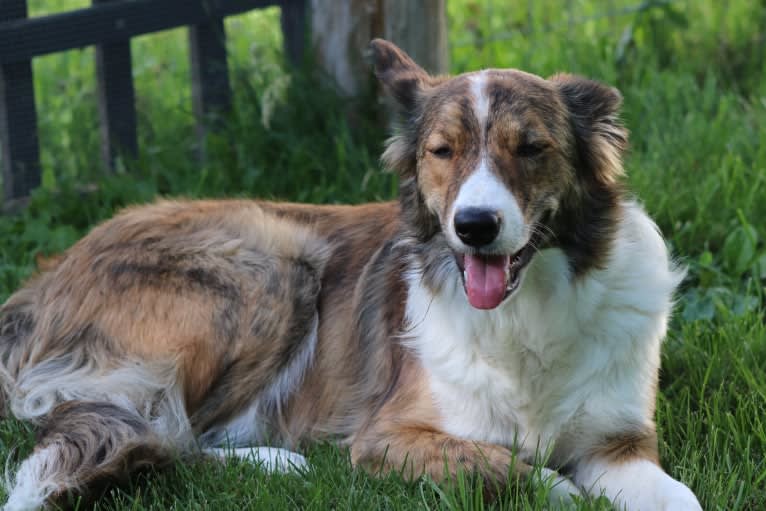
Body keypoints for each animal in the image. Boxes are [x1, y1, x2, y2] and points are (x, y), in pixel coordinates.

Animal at [0, 41, 704, 511]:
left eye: (532, 148)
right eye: (442, 151)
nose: (475, 226)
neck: (525, 315)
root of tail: (42, 281)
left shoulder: (619, 441)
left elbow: (680, 498)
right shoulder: (387, 438)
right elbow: (523, 473)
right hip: (273, 268)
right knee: (165, 433)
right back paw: (280, 461)